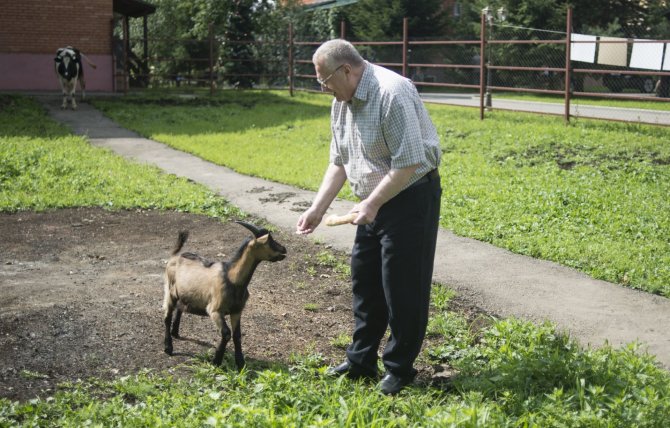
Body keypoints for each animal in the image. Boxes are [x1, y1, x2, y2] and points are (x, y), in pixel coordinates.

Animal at [165, 221, 288, 368]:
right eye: (270, 240)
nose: (284, 249)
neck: (232, 277)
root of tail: (174, 256)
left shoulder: (237, 311)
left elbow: (237, 335)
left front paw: (240, 363)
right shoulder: (215, 310)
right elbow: (226, 333)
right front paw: (216, 361)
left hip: (184, 294)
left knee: (180, 308)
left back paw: (175, 332)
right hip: (170, 291)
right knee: (167, 317)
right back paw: (168, 348)